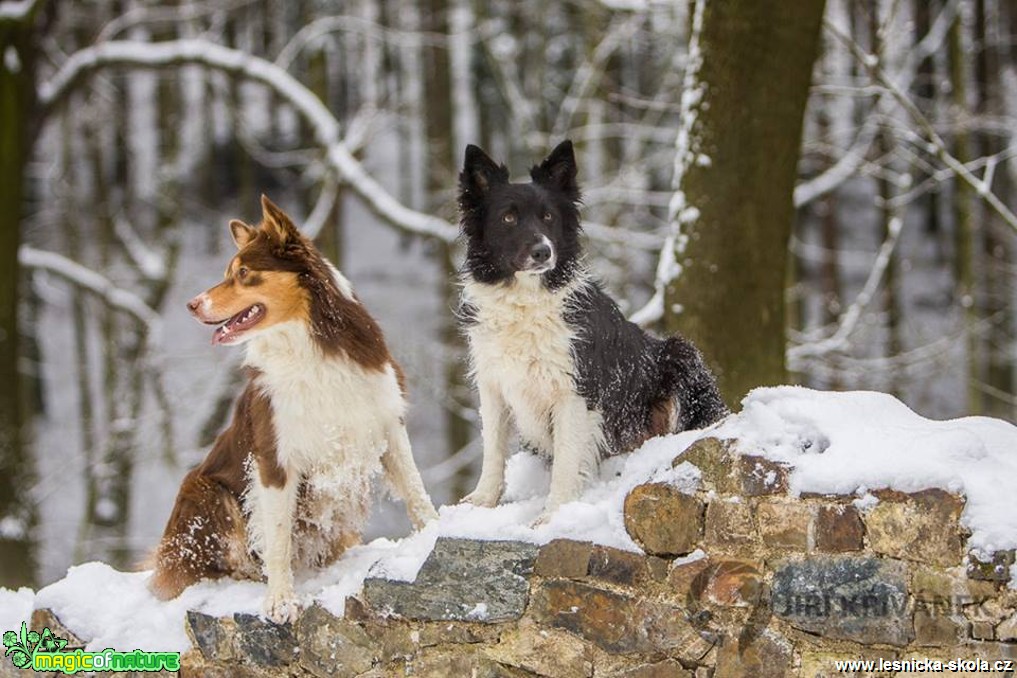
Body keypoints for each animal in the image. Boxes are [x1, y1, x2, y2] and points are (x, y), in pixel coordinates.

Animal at [148, 195, 437, 622]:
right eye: (229, 272)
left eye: (243, 273)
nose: (191, 305)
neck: (307, 344)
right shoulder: (275, 455)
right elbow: (279, 537)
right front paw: (281, 600)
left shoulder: (386, 420)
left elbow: (415, 490)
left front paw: (439, 529)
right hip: (202, 488)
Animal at [457, 140, 728, 524]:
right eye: (508, 218)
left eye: (548, 217)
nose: (543, 251)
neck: (527, 300)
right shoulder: (494, 385)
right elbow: (492, 448)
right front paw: (482, 501)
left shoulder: (574, 391)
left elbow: (567, 458)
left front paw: (553, 515)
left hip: (680, 354)